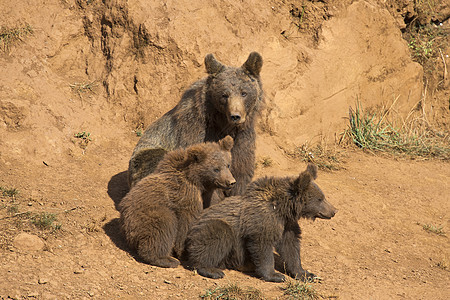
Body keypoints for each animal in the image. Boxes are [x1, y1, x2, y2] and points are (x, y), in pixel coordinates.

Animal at [118, 136, 236, 268]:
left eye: (228, 165)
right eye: (216, 169)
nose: (231, 182)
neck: (200, 182)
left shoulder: (209, 194)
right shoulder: (186, 195)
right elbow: (187, 221)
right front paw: (183, 251)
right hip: (147, 214)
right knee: (163, 227)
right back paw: (166, 259)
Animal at [127, 52, 264, 200]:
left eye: (244, 93)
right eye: (224, 95)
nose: (235, 116)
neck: (223, 124)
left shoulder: (243, 139)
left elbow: (241, 173)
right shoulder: (196, 132)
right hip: (145, 156)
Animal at [186, 163, 338, 282]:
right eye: (320, 199)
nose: (334, 211)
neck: (282, 209)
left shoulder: (286, 225)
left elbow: (291, 247)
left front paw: (306, 274)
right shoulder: (262, 221)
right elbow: (263, 246)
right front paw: (275, 275)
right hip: (206, 230)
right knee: (216, 235)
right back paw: (212, 270)